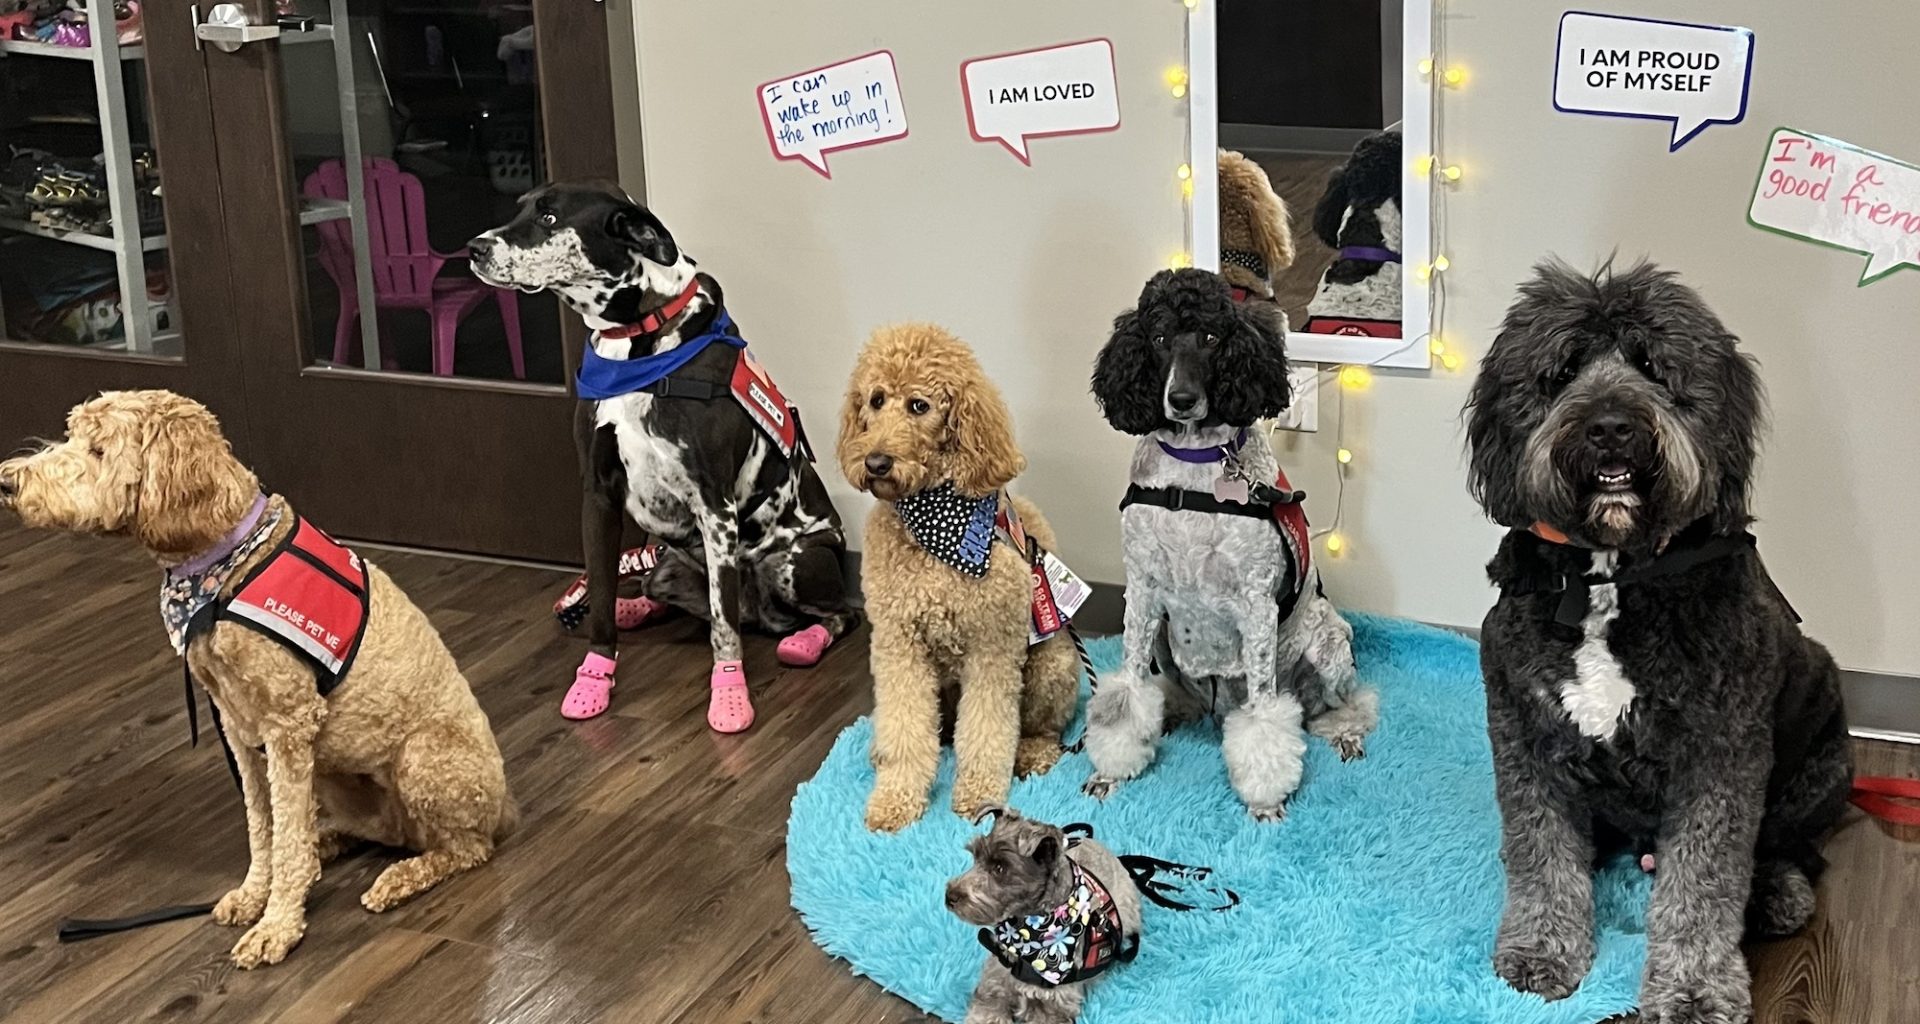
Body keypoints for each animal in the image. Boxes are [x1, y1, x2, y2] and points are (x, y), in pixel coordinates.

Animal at [0, 390, 514, 964]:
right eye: (72, 436)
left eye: (98, 450)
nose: (8, 481)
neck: (221, 567)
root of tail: (505, 808)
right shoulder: (240, 729)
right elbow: (264, 825)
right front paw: (256, 894)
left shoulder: (288, 725)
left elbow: (283, 837)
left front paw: (278, 925)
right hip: (336, 779)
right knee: (370, 830)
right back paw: (326, 848)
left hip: (425, 759)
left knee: (464, 847)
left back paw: (397, 878)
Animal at [464, 181, 856, 726]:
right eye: (521, 207)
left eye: (549, 217)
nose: (473, 248)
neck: (638, 342)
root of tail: (761, 611)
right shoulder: (598, 494)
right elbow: (601, 595)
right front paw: (594, 678)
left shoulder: (716, 508)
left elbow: (723, 627)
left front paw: (729, 695)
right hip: (669, 563)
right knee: (659, 593)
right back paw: (632, 608)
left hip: (799, 561)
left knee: (837, 614)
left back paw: (806, 640)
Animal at [837, 324, 1090, 829]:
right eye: (875, 400)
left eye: (919, 406)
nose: (875, 462)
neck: (935, 525)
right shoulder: (898, 644)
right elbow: (906, 725)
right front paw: (895, 798)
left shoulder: (992, 647)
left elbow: (988, 729)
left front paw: (979, 796)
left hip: (1051, 664)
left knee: (1042, 728)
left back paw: (1033, 754)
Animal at [1082, 267, 1382, 818]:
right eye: (1158, 339)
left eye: (1210, 337)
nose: (1181, 400)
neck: (1193, 469)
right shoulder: (1142, 593)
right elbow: (1127, 692)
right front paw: (1109, 771)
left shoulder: (1256, 602)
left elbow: (1264, 715)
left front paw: (1265, 798)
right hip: (1165, 641)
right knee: (1174, 694)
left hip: (1328, 642)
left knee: (1341, 705)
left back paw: (1346, 734)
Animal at [1459, 257, 1850, 1022]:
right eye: (1563, 369)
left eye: (1655, 366)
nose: (1611, 427)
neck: (1615, 572)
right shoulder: (1524, 733)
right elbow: (1540, 848)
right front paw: (1541, 949)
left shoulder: (1719, 755)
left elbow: (1703, 882)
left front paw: (1695, 991)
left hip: (1823, 763)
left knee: (1795, 849)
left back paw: (1777, 891)